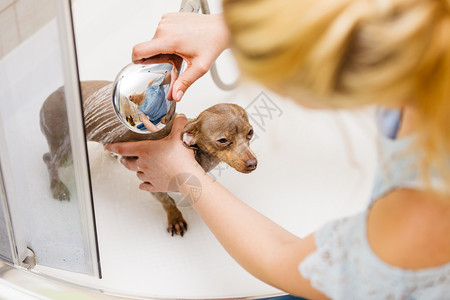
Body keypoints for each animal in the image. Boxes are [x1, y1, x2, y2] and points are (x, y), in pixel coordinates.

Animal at [40, 80, 258, 237]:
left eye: (250, 132)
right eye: (222, 140)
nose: (252, 163)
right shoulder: (150, 178)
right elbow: (167, 200)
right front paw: (175, 218)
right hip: (66, 151)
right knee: (48, 159)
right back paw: (57, 187)